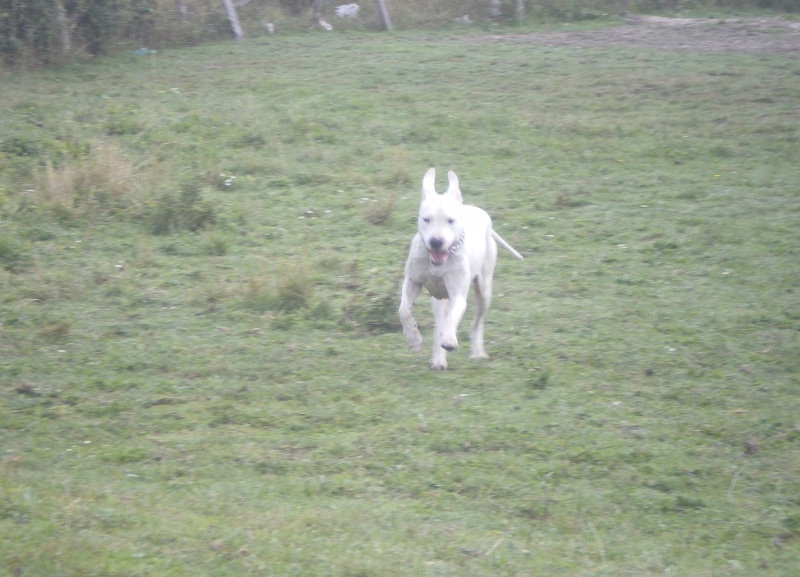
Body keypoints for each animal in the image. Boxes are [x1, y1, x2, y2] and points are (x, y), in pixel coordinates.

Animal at [396, 169, 520, 372]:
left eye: (450, 220)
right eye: (426, 219)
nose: (436, 241)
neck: (439, 261)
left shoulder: (458, 296)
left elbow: (452, 318)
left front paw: (449, 340)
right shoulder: (412, 282)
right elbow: (403, 310)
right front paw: (413, 340)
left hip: (484, 291)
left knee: (476, 322)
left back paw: (476, 351)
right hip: (439, 300)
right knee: (439, 323)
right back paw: (438, 360)